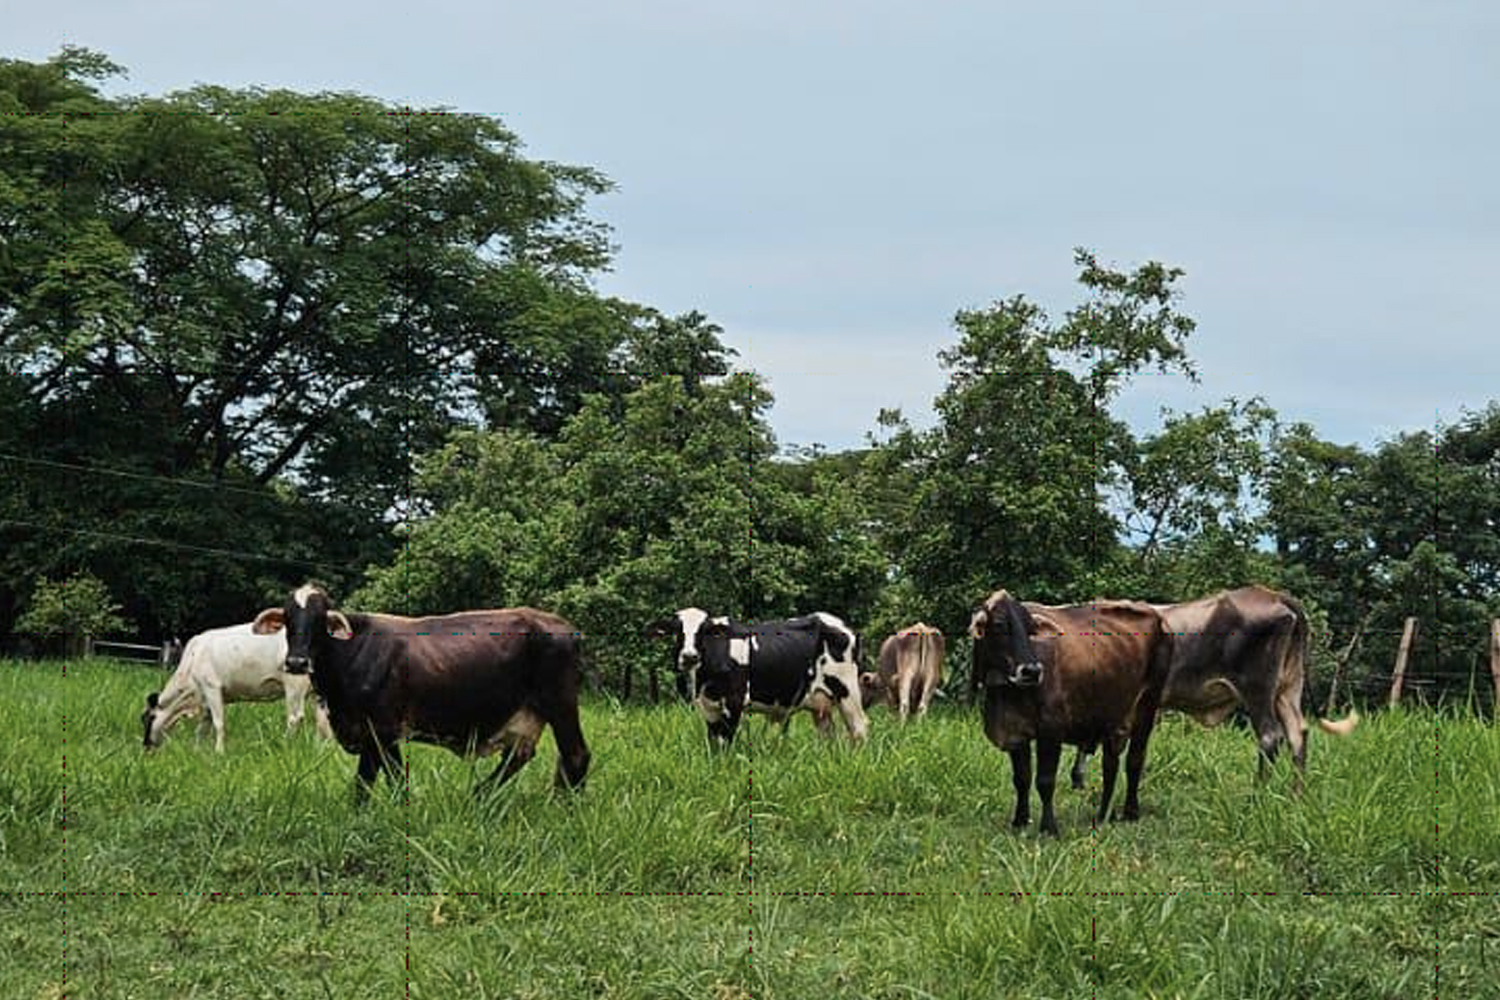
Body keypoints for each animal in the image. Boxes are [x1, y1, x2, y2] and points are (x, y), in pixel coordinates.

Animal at [141, 620, 331, 755]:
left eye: (147, 718)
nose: (146, 747)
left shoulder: (212, 687)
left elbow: (218, 723)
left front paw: (219, 752)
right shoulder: (206, 698)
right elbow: (202, 728)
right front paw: (197, 751)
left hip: (294, 684)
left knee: (295, 718)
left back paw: (285, 745)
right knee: (323, 721)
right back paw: (321, 749)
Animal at [255, 587, 588, 797]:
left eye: (320, 619)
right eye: (287, 619)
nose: (297, 662)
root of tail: (564, 626)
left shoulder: (381, 730)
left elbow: (380, 779)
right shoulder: (372, 734)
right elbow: (377, 780)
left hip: (560, 704)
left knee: (575, 755)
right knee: (518, 757)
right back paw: (479, 795)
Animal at [645, 611, 870, 743]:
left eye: (704, 631)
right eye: (678, 631)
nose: (689, 656)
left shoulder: (734, 702)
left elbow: (726, 742)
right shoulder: (708, 707)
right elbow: (714, 743)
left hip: (847, 691)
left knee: (859, 729)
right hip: (820, 702)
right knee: (828, 736)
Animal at [966, 590, 1176, 839]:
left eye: (1031, 630)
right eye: (999, 625)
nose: (1032, 671)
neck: (1006, 694)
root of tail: (1158, 616)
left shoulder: (1051, 731)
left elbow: (1045, 781)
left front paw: (1049, 828)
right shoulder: (1016, 732)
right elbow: (1021, 778)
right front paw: (1020, 821)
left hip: (1146, 707)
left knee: (1134, 760)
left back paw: (1130, 812)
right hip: (1111, 715)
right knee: (1110, 765)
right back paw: (1103, 815)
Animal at [1068, 587, 1362, 791]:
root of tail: (1275, 595)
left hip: (1257, 688)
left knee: (1270, 736)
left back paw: (1258, 795)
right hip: (1288, 687)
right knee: (1297, 733)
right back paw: (1295, 795)